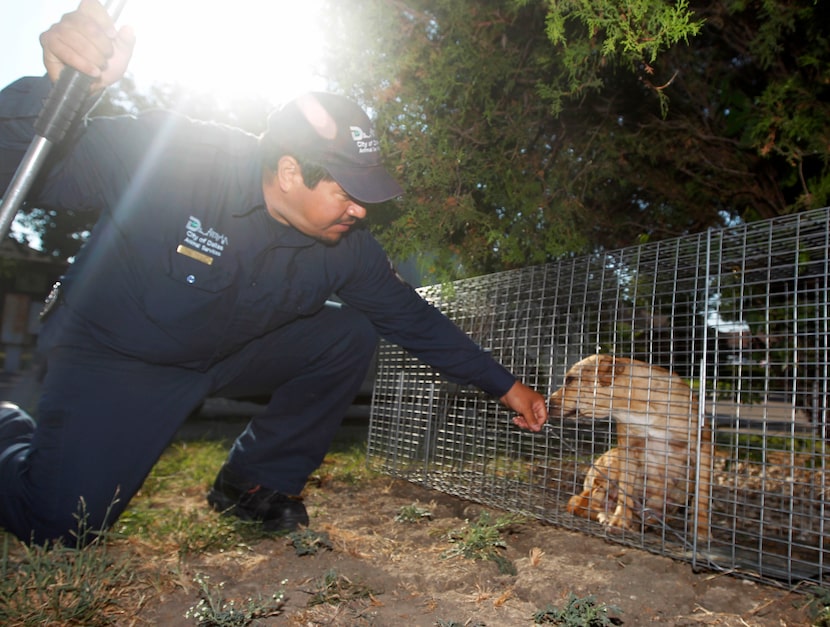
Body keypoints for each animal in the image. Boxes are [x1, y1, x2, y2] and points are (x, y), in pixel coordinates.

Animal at [552, 356, 716, 544]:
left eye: (570, 379)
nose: (547, 402)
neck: (639, 408)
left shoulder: (703, 449)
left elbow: (702, 499)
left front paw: (701, 531)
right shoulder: (628, 452)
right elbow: (625, 495)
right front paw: (619, 521)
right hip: (609, 469)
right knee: (586, 504)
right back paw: (609, 516)